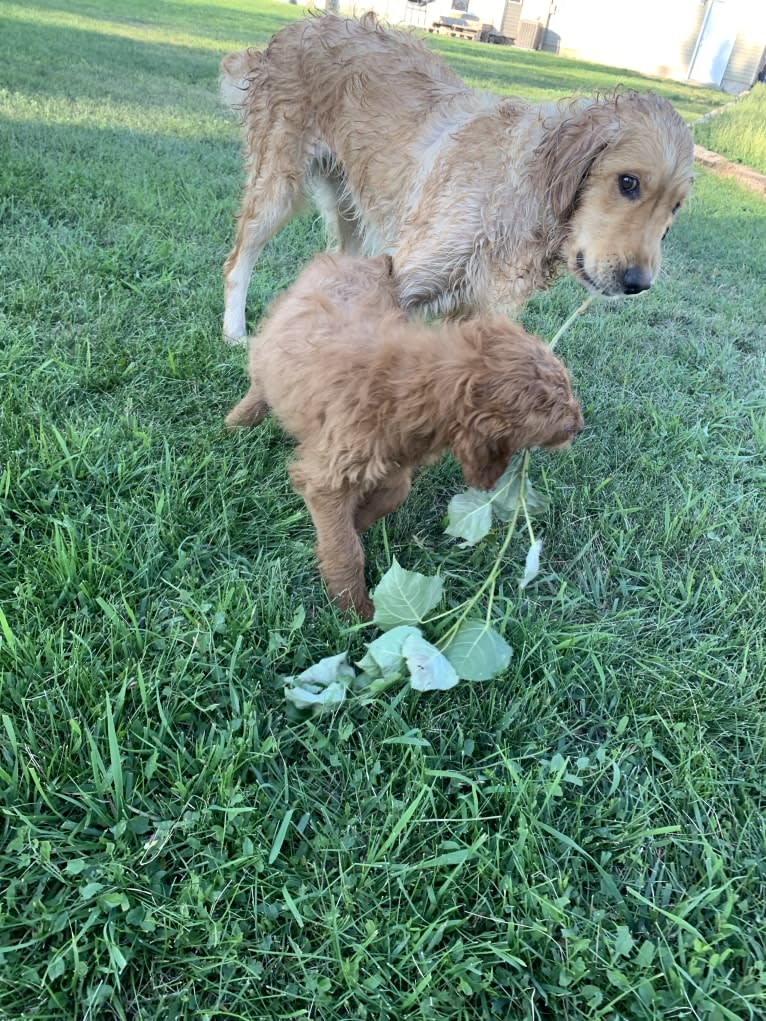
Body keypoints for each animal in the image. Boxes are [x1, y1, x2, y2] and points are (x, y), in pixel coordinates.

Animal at [220, 12, 694, 338]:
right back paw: (235, 334)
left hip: (349, 212)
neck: (519, 191)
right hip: (276, 190)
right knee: (236, 264)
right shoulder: (406, 280)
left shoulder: (475, 311)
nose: (639, 284)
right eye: (628, 182)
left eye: (674, 209)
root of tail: (294, 30)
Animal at [224, 255, 584, 620]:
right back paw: (236, 424)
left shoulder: (394, 459)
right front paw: (354, 610)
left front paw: (359, 520)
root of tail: (359, 259)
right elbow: (344, 547)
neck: (409, 384)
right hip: (269, 349)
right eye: (550, 406)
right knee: (258, 385)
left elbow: (395, 493)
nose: (580, 424)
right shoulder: (328, 476)